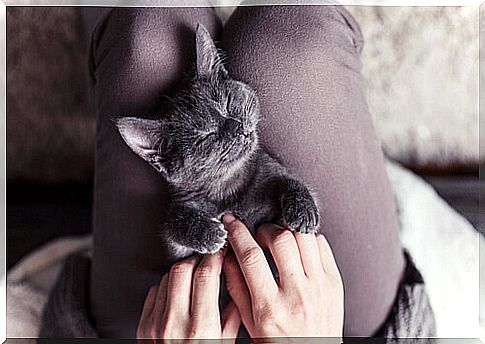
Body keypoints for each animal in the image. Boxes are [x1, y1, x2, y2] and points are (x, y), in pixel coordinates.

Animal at [113, 24, 318, 258]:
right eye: (206, 135)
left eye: (227, 103)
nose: (237, 127)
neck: (228, 186)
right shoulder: (181, 251)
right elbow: (172, 221)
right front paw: (206, 232)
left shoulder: (269, 169)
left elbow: (290, 179)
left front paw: (304, 209)